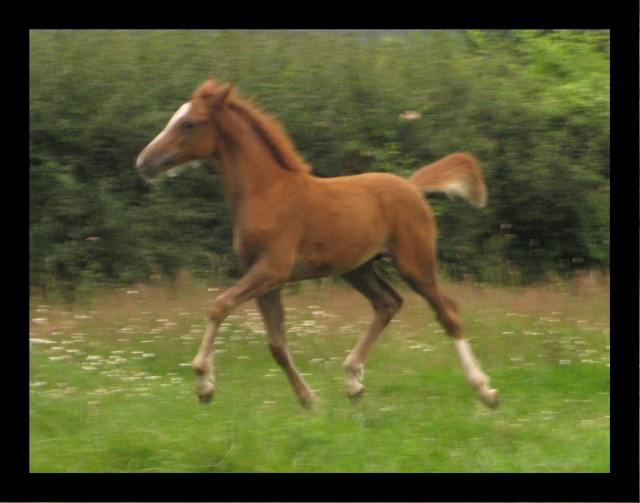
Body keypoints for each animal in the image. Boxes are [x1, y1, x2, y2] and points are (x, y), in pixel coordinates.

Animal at [136, 78, 500, 410]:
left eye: (189, 123)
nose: (144, 162)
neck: (266, 191)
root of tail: (412, 186)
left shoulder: (272, 269)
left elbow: (219, 306)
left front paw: (204, 384)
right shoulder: (265, 280)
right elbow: (277, 345)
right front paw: (309, 400)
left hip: (415, 263)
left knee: (447, 312)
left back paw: (485, 390)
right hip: (358, 268)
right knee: (388, 303)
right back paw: (353, 381)